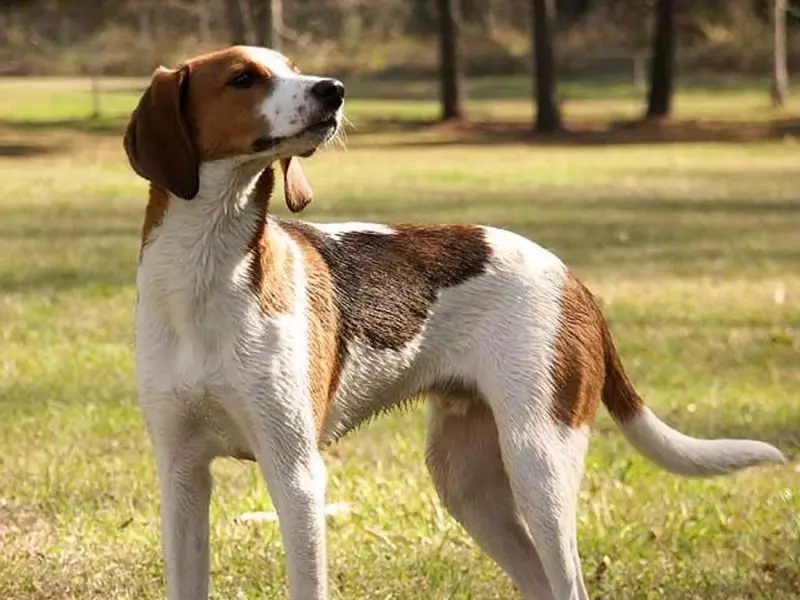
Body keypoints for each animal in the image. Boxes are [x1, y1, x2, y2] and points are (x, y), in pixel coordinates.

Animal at [122, 48, 784, 600]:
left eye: (291, 67)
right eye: (243, 78)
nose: (334, 90)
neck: (206, 274)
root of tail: (572, 278)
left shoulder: (296, 474)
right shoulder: (182, 477)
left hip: (538, 463)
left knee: (568, 583)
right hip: (467, 482)